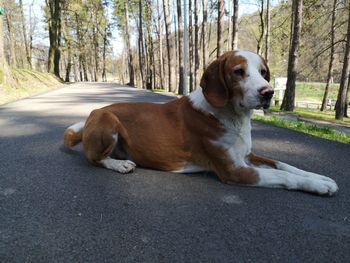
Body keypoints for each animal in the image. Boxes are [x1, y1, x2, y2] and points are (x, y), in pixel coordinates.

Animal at [64, 50, 338, 196]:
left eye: (263, 72)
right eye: (239, 72)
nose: (268, 93)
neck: (233, 118)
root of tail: (93, 115)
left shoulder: (247, 156)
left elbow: (284, 165)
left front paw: (321, 178)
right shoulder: (235, 170)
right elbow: (285, 177)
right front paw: (316, 185)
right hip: (107, 120)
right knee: (95, 158)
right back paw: (119, 164)